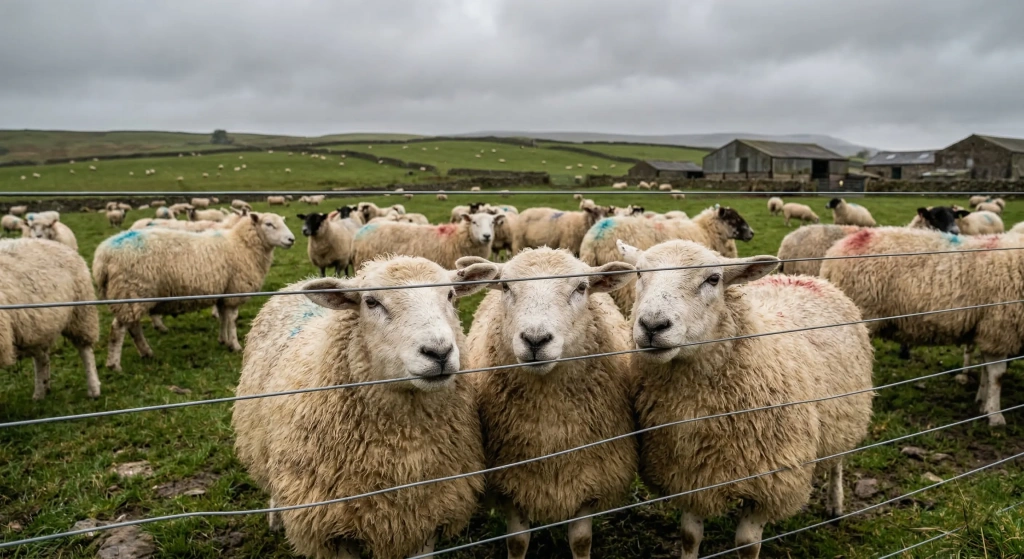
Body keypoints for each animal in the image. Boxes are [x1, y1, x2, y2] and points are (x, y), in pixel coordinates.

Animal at [0, 238, 101, 400]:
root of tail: (54, 243)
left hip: (81, 313)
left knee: (85, 351)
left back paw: (93, 389)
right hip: (40, 325)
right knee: (42, 358)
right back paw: (41, 391)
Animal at [93, 212, 295, 371]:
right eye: (268, 224)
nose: (291, 239)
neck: (241, 245)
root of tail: (102, 258)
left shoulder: (223, 292)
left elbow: (223, 318)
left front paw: (223, 340)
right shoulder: (234, 291)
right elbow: (232, 320)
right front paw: (235, 345)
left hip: (132, 295)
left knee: (133, 327)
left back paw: (146, 352)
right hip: (130, 291)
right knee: (118, 330)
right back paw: (114, 364)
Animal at [232, 256, 498, 559]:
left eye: (451, 295)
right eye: (371, 302)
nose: (439, 352)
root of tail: (299, 282)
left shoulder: (428, 514)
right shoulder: (336, 527)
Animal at [460, 249, 638, 559]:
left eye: (581, 288)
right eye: (505, 286)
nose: (535, 340)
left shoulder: (590, 478)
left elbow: (580, 540)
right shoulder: (511, 481)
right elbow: (518, 541)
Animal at [623, 240, 873, 559]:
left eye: (713, 279)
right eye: (639, 273)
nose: (653, 325)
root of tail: (807, 278)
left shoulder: (770, 483)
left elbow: (747, 545)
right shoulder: (690, 474)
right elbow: (689, 536)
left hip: (846, 413)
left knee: (837, 462)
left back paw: (835, 504)